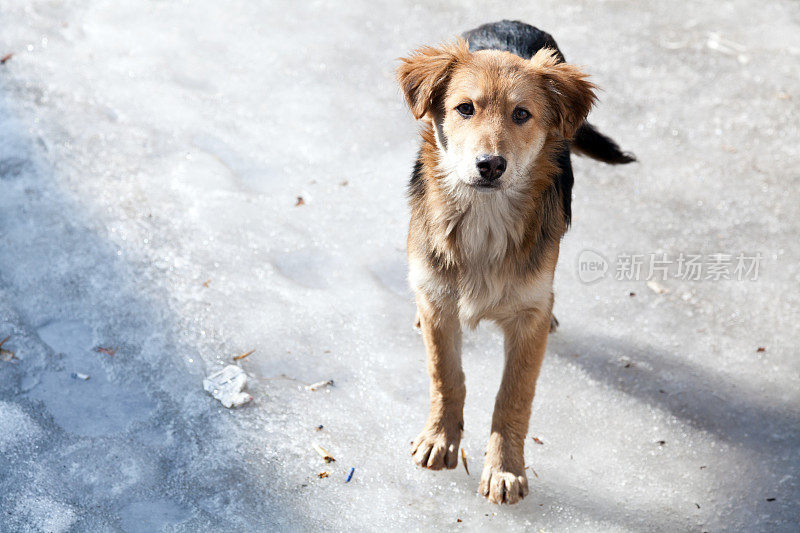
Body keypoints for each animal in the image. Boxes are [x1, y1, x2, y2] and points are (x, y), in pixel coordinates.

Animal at [396, 20, 636, 502]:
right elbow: (445, 374)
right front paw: (440, 438)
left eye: (522, 114)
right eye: (464, 108)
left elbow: (514, 396)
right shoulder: (438, 299)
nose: (490, 165)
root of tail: (511, 24)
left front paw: (504, 469)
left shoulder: (528, 317)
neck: (484, 222)